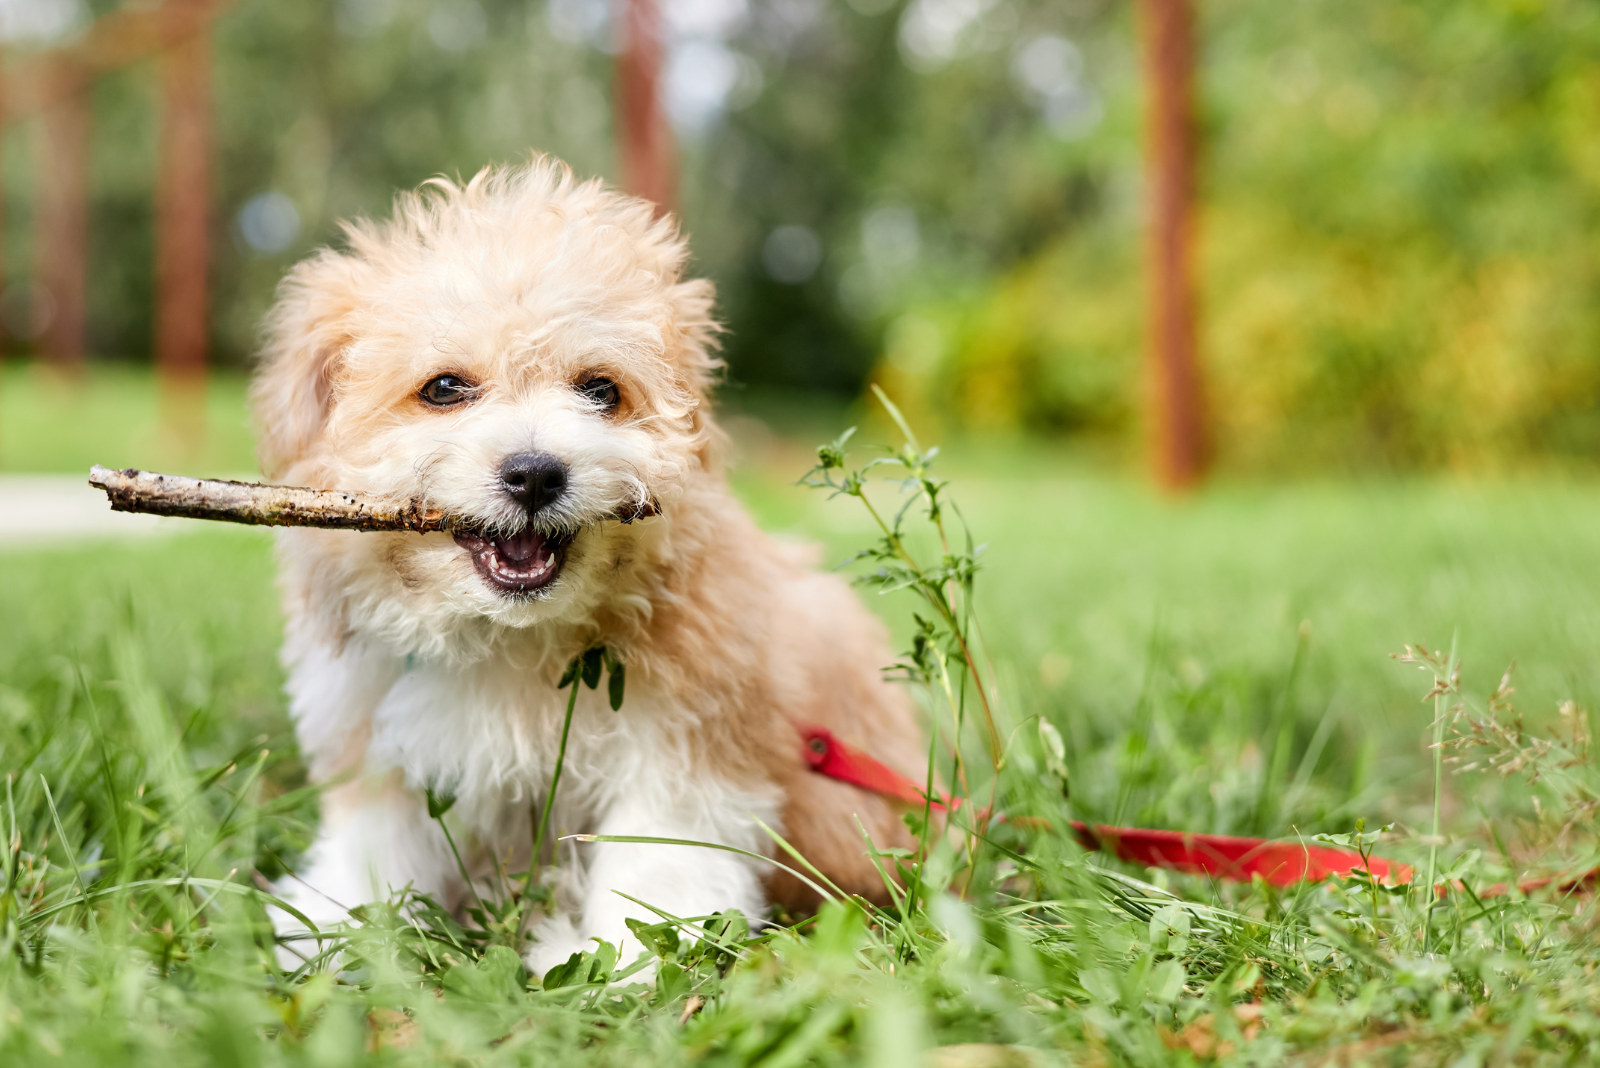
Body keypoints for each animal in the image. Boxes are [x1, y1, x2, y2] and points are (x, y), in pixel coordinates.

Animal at [249, 156, 928, 965]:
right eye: (444, 388)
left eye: (601, 389)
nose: (536, 473)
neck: (512, 638)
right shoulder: (376, 734)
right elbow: (375, 845)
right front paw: (332, 931)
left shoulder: (688, 748)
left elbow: (659, 863)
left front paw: (634, 963)